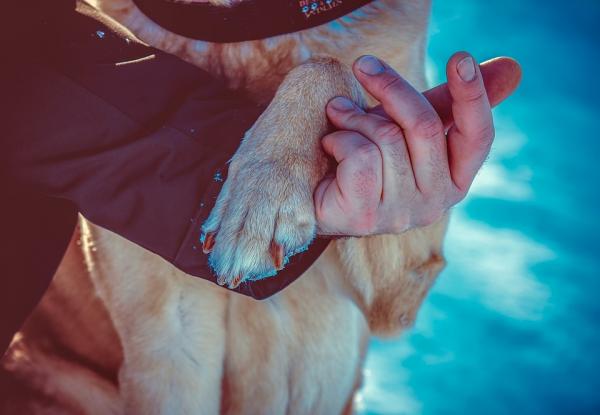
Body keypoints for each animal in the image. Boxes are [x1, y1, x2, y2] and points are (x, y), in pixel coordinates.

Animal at [2, 1, 448, 414]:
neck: (236, 34)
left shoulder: (395, 289)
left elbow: (330, 64)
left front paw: (262, 197)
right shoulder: (168, 335)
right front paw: (256, 201)